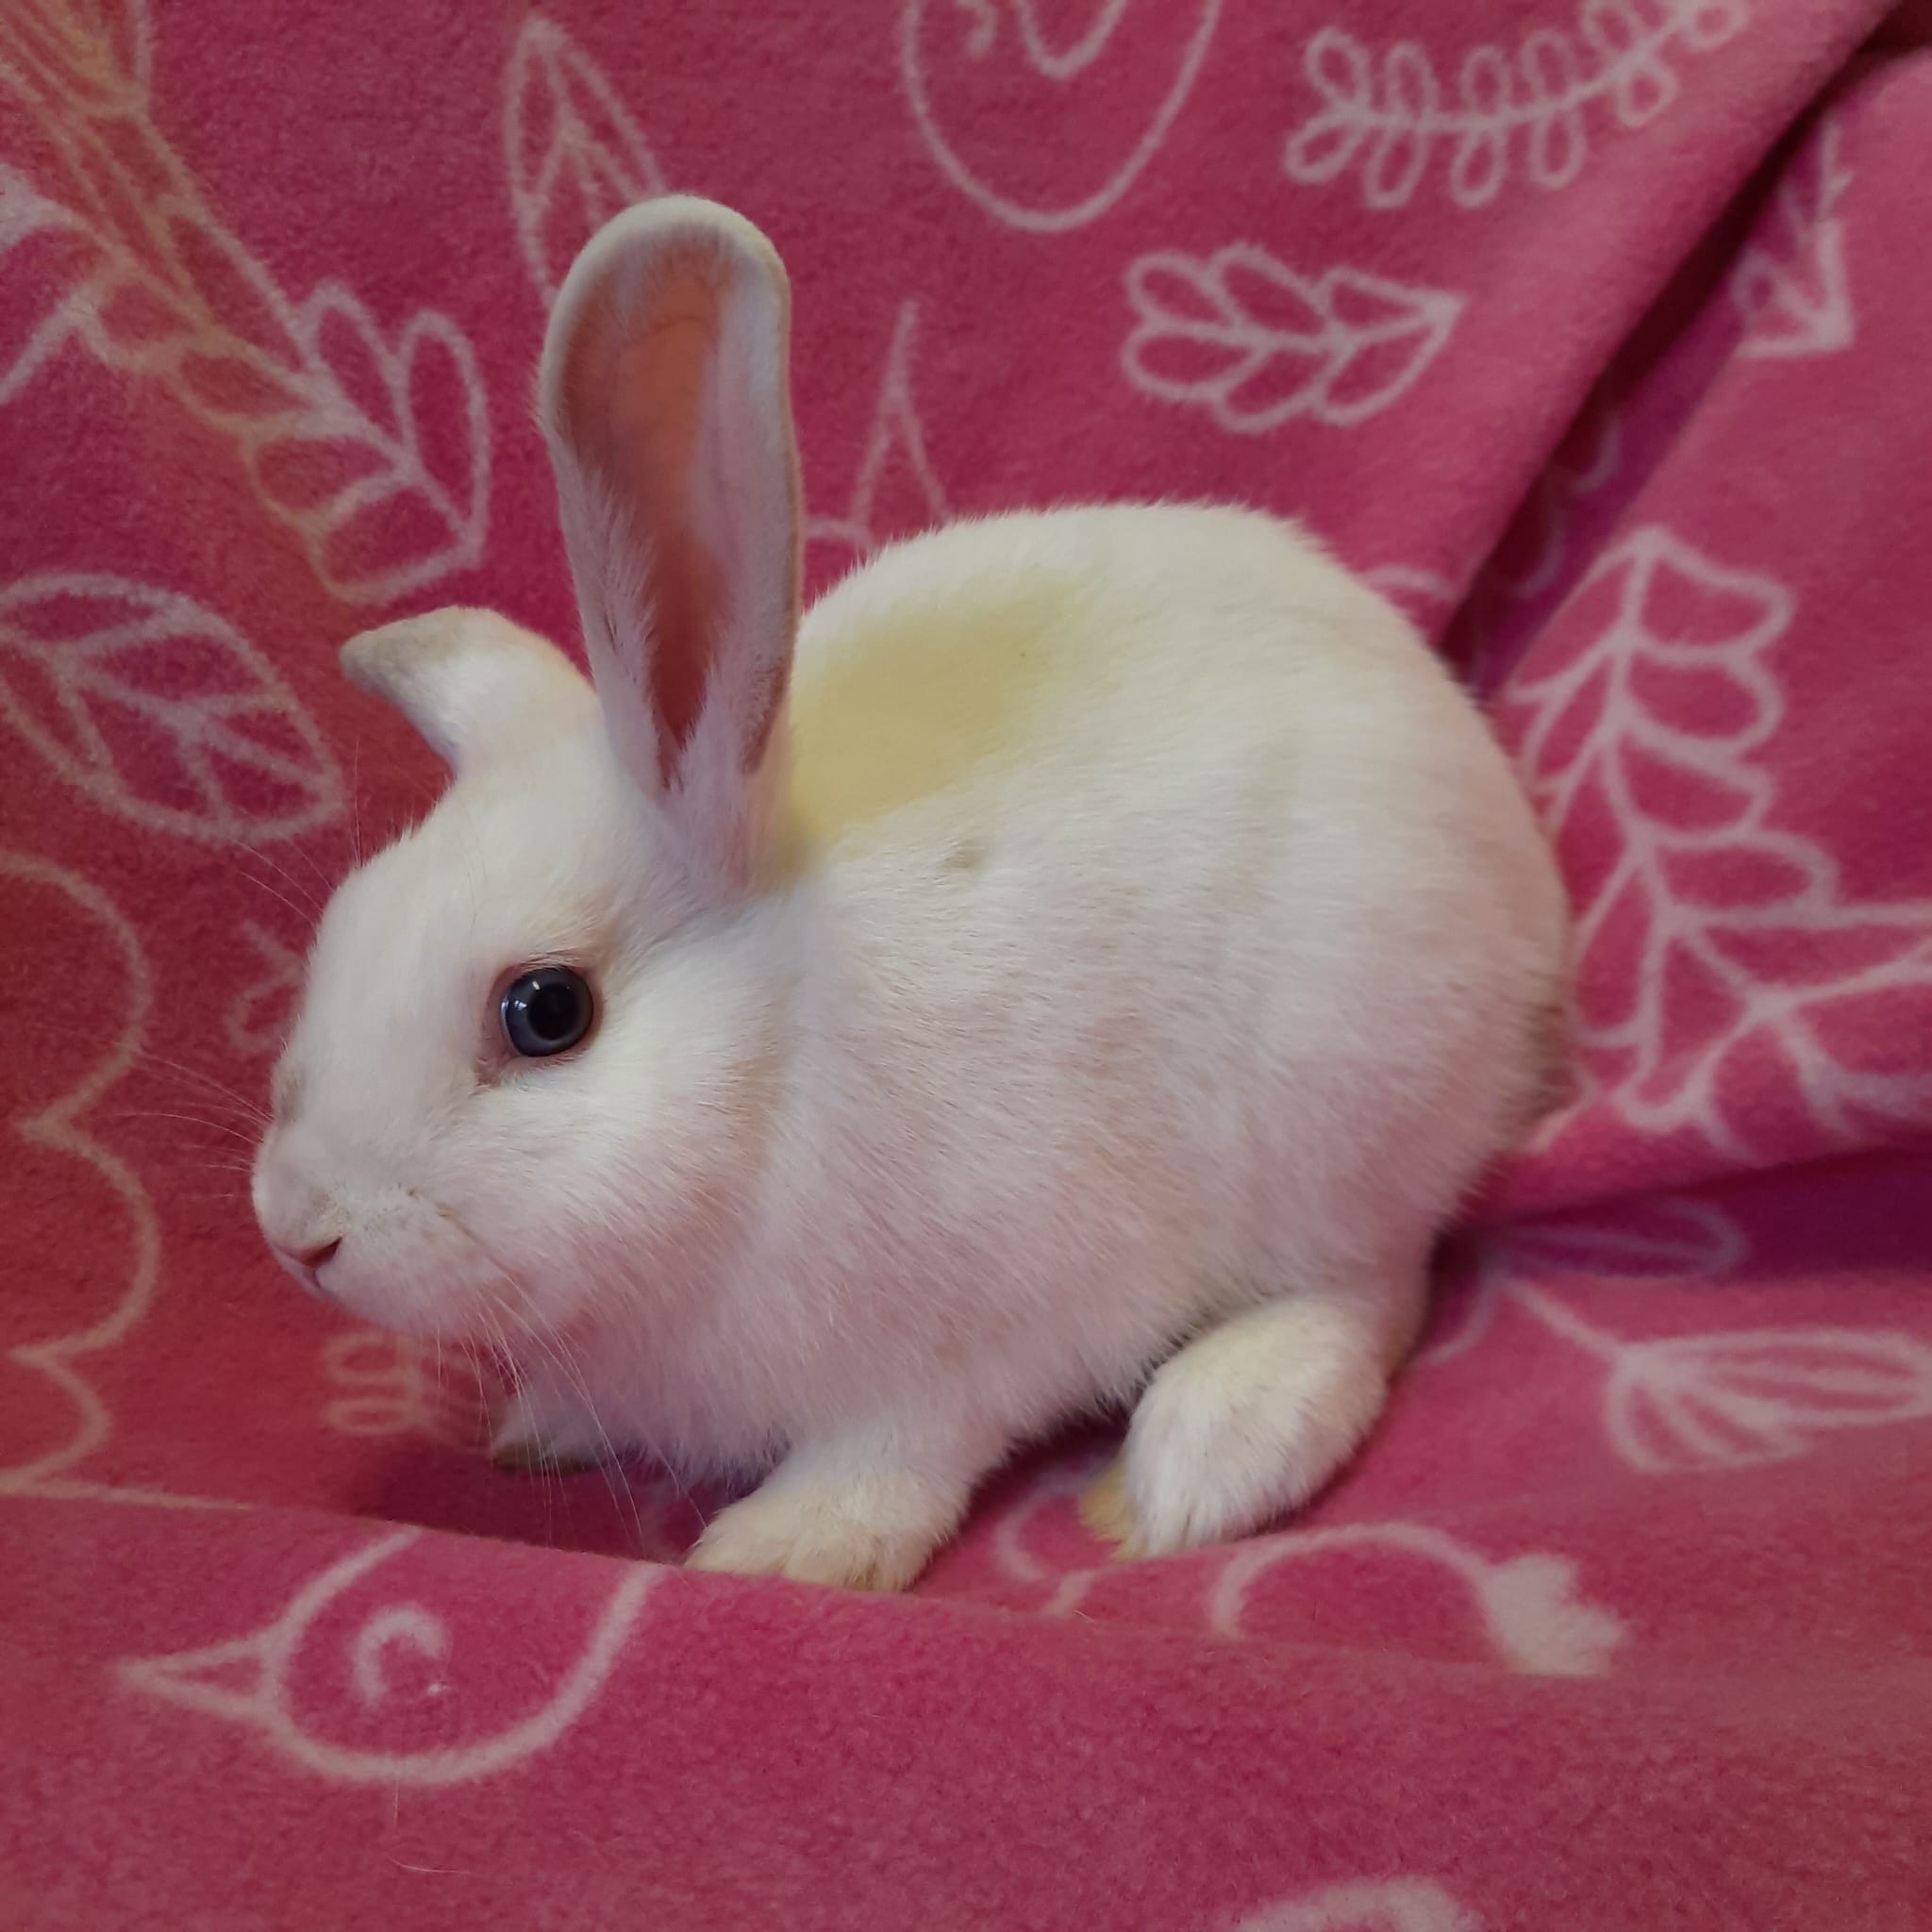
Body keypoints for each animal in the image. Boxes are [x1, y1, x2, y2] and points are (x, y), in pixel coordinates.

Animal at [251, 197, 1569, 1592]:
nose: (296, 1226)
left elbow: (897, 1452)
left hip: (1339, 1092)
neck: (774, 1070)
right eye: (342, 924)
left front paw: (783, 1549)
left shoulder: (960, 1344)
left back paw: (1204, 1454)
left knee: (1374, 1285)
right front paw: (541, 1429)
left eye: (545, 1010)